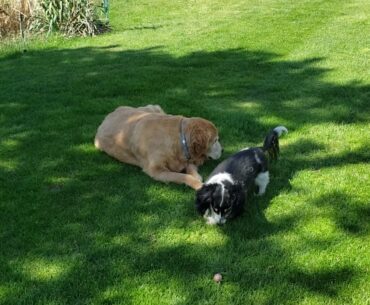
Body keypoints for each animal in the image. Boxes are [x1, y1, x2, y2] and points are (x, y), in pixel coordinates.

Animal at [95, 105, 223, 189]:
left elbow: (190, 167)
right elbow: (182, 176)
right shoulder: (156, 171)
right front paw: (198, 184)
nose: (223, 150)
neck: (178, 139)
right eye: (215, 140)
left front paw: (197, 176)